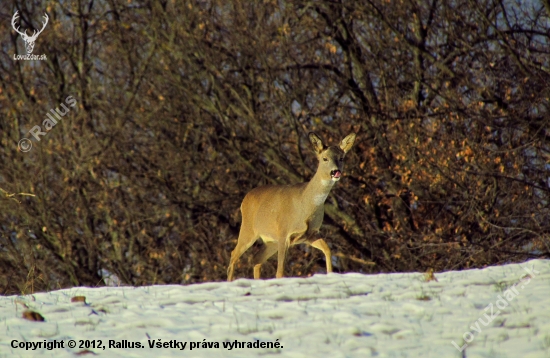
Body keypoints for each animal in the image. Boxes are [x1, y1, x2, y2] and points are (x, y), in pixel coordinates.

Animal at [227, 131, 358, 280]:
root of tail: (245, 199)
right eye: (324, 158)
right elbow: (280, 271)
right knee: (234, 254)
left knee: (256, 258)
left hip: (271, 241)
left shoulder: (311, 234)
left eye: (341, 158)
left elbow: (327, 250)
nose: (336, 172)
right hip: (248, 229)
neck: (305, 205)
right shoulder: (284, 232)